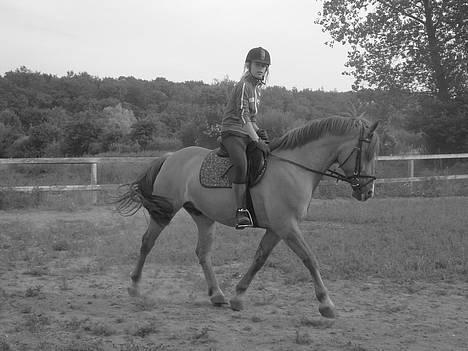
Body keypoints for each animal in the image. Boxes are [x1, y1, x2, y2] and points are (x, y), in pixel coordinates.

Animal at [116, 116, 380, 320]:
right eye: (366, 152)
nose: (367, 192)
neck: (294, 168)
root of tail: (171, 156)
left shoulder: (277, 229)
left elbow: (259, 258)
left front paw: (238, 296)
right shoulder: (287, 226)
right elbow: (309, 259)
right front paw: (326, 304)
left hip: (203, 216)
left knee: (202, 253)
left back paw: (217, 295)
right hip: (166, 212)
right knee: (147, 243)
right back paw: (135, 286)